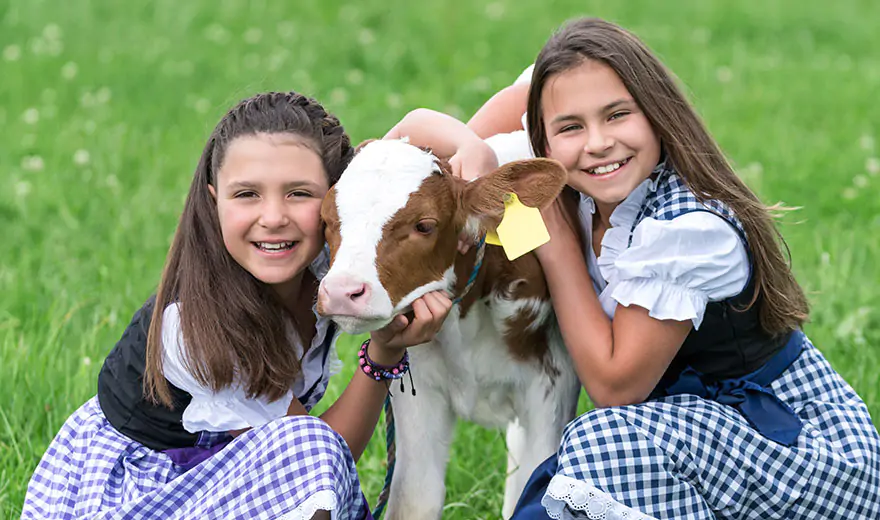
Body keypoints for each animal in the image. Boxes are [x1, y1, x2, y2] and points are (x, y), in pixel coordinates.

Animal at [316, 139, 576, 520]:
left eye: (424, 225)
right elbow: (416, 499)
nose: (341, 291)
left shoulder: (552, 386)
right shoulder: (419, 389)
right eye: (325, 220)